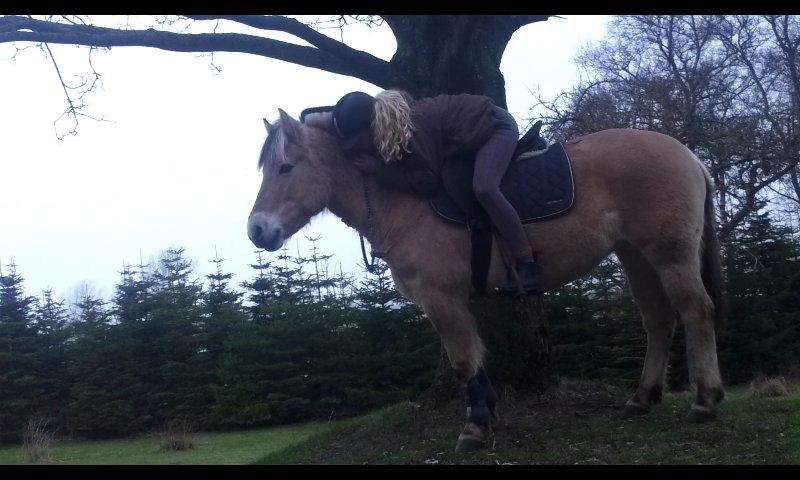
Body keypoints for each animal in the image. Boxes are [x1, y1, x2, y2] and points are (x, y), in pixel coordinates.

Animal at [248, 109, 724, 454]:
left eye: (286, 168)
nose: (256, 231)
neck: (404, 201)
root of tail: (689, 155)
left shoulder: (442, 299)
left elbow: (463, 361)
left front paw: (475, 430)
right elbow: (476, 359)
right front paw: (487, 416)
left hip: (670, 254)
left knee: (696, 311)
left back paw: (705, 399)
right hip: (635, 255)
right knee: (658, 321)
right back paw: (641, 399)